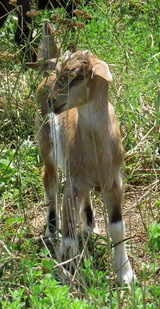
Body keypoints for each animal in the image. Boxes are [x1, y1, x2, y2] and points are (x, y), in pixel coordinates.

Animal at [26, 20, 136, 282]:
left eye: (78, 76)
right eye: (63, 74)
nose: (53, 101)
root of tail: (46, 73)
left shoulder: (113, 182)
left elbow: (117, 227)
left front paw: (125, 274)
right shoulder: (72, 186)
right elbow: (69, 234)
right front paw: (67, 270)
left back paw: (90, 226)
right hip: (47, 146)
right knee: (50, 182)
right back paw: (51, 230)